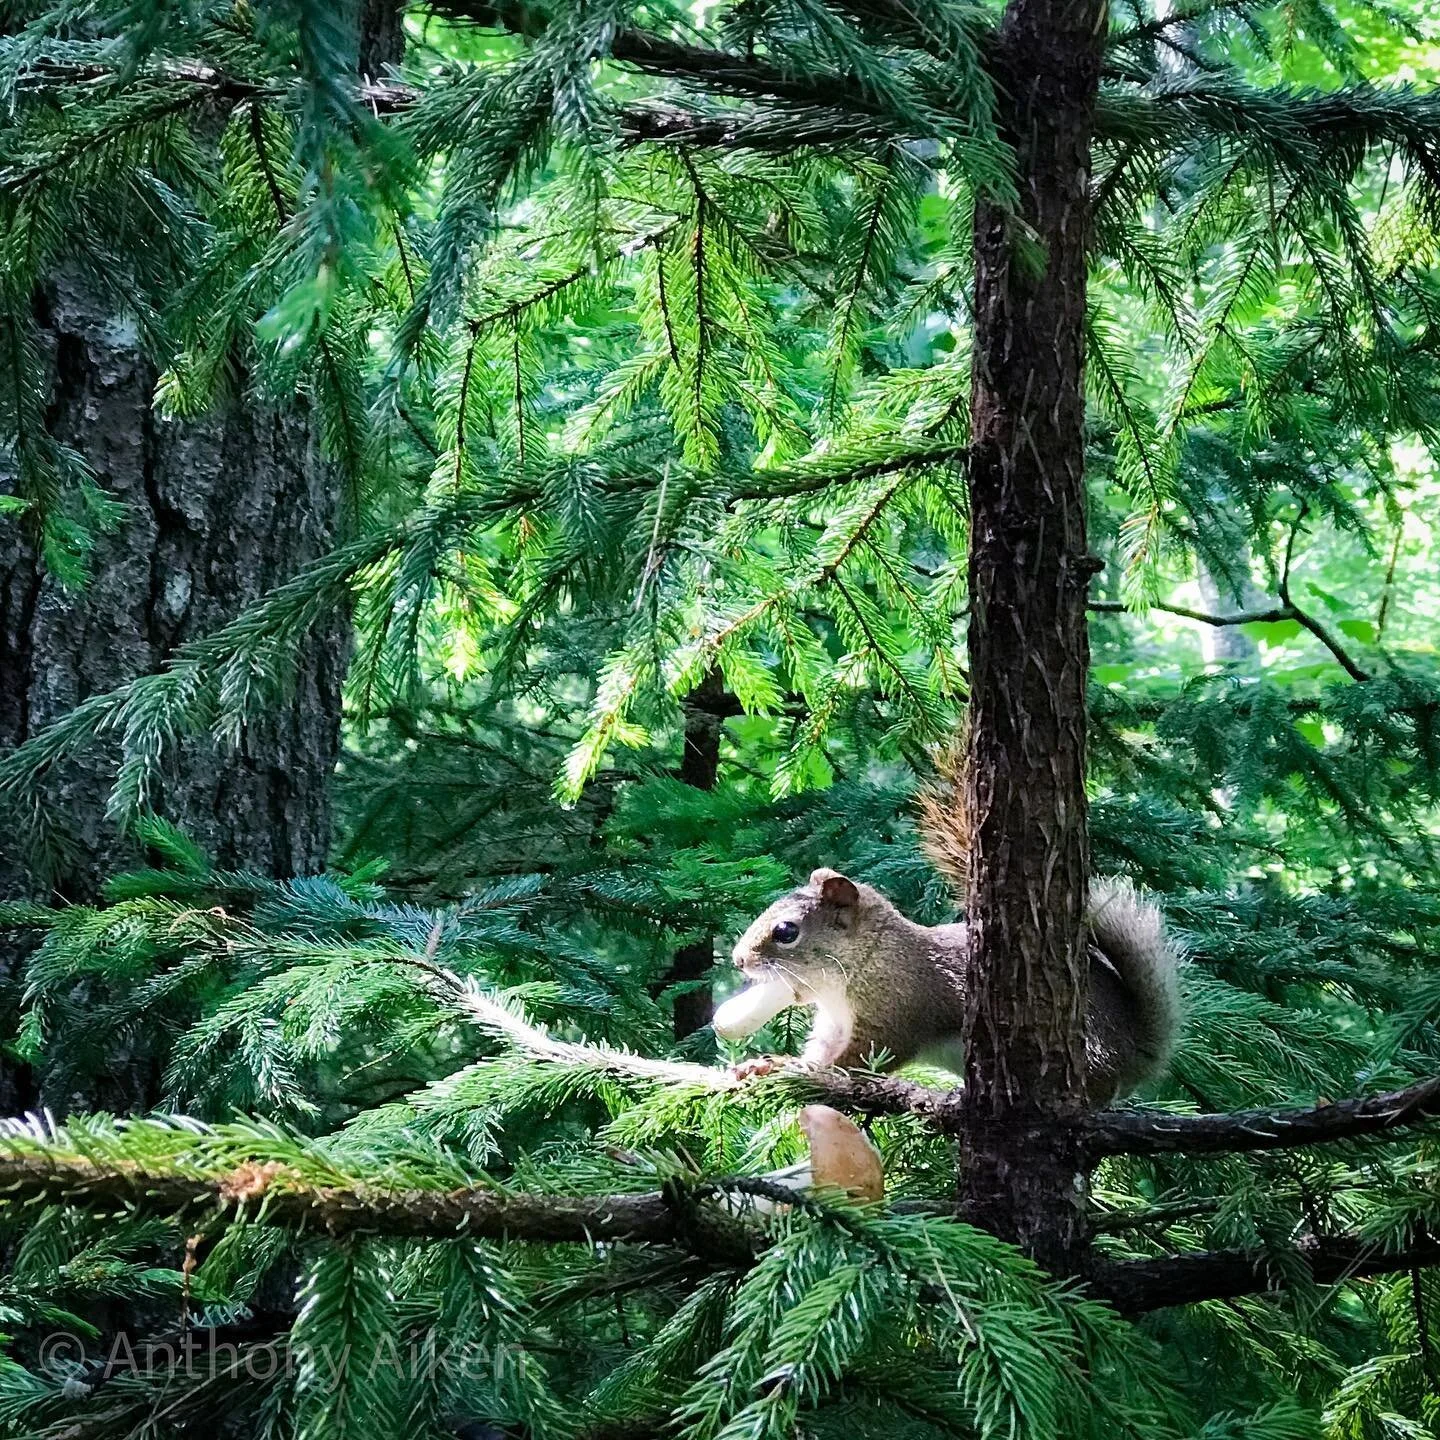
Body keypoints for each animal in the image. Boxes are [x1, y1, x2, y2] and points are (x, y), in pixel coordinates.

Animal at [726, 867, 1181, 1105]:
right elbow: (821, 1050)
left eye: (787, 931)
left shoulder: (894, 1013)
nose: (737, 960)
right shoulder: (833, 1025)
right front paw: (764, 1064)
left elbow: (856, 1059)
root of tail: (1135, 1052)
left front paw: (798, 1072)